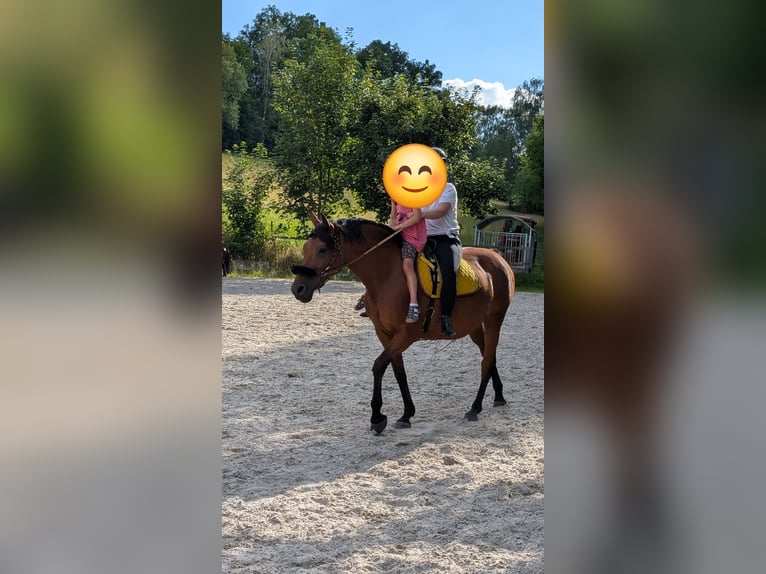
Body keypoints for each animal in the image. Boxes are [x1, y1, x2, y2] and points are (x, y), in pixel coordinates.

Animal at [291, 213, 516, 434]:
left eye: (322, 249)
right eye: (305, 247)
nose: (298, 288)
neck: (387, 275)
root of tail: (497, 256)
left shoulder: (406, 334)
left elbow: (379, 366)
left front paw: (377, 417)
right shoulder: (384, 334)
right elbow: (399, 371)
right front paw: (407, 414)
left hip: (494, 319)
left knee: (486, 360)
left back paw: (475, 408)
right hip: (474, 326)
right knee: (489, 356)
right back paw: (498, 396)